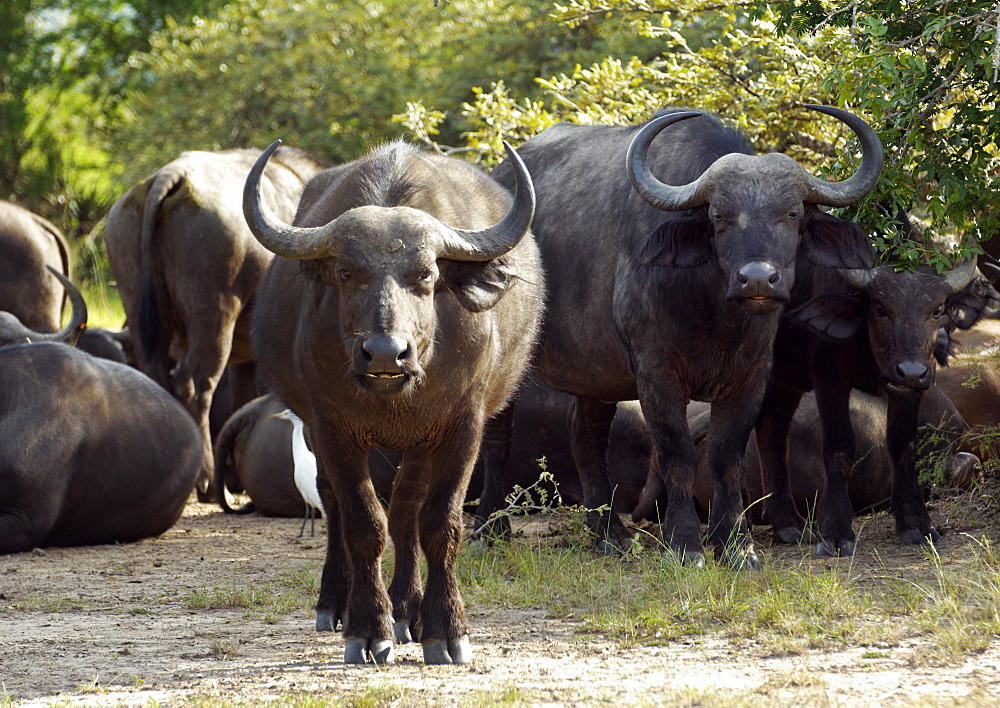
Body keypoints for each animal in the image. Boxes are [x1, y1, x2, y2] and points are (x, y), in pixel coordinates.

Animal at [102, 148, 322, 504]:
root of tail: (169, 176)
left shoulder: (245, 357)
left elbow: (242, 398)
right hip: (214, 317)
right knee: (195, 387)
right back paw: (204, 479)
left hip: (139, 308)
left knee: (156, 378)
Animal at [488, 106, 880, 568]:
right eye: (718, 217)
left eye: (793, 214)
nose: (757, 279)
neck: (714, 315)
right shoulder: (656, 374)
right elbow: (677, 452)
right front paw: (686, 542)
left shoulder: (751, 375)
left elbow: (727, 455)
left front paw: (736, 545)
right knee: (497, 435)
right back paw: (489, 530)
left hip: (594, 375)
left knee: (585, 439)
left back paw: (609, 534)